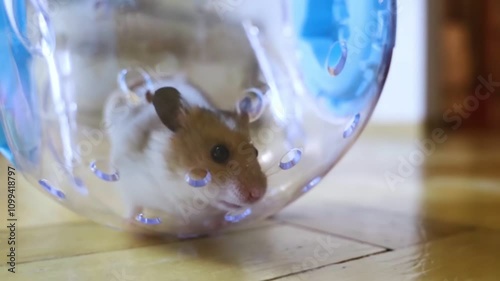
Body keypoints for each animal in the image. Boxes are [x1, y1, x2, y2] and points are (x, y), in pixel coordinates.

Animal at [103, 76, 268, 225]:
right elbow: (133, 207)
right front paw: (129, 224)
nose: (258, 194)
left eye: (255, 151)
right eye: (219, 153)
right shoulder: (129, 183)